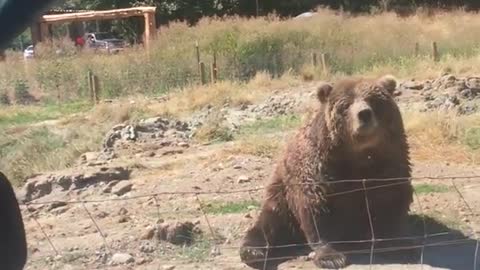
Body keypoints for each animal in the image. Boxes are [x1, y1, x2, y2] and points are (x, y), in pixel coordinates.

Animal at [238, 75, 414, 268]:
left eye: (374, 101)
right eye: (346, 105)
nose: (364, 114)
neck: (358, 156)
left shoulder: (388, 162)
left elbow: (391, 198)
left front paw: (400, 244)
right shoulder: (319, 169)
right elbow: (317, 209)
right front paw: (331, 257)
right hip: (281, 194)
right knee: (270, 222)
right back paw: (254, 251)